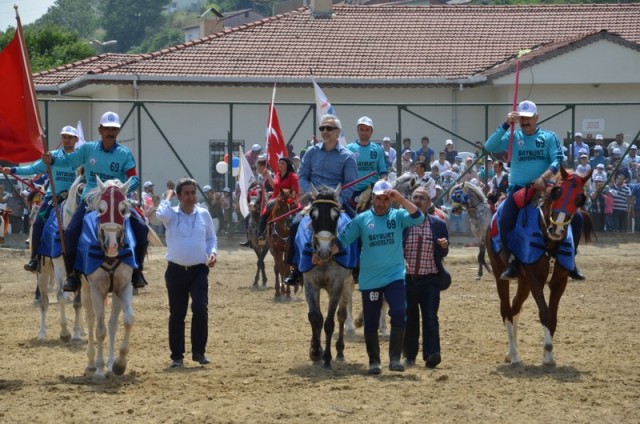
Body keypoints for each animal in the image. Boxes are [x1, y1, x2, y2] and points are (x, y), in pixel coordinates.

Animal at [81, 177, 135, 382]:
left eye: (123, 209)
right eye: (101, 209)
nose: (111, 245)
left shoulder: (124, 287)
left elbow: (127, 320)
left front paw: (119, 364)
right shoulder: (96, 289)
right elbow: (100, 330)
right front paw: (98, 369)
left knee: (112, 324)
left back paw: (111, 365)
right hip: (85, 289)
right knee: (90, 319)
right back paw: (91, 363)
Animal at [484, 167, 596, 366]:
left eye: (579, 198)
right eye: (557, 191)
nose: (557, 229)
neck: (550, 244)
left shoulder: (559, 282)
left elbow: (553, 317)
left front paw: (548, 354)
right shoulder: (535, 280)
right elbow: (544, 313)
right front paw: (548, 351)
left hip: (524, 283)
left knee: (515, 308)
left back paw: (510, 352)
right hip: (500, 275)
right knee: (506, 311)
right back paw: (514, 354)